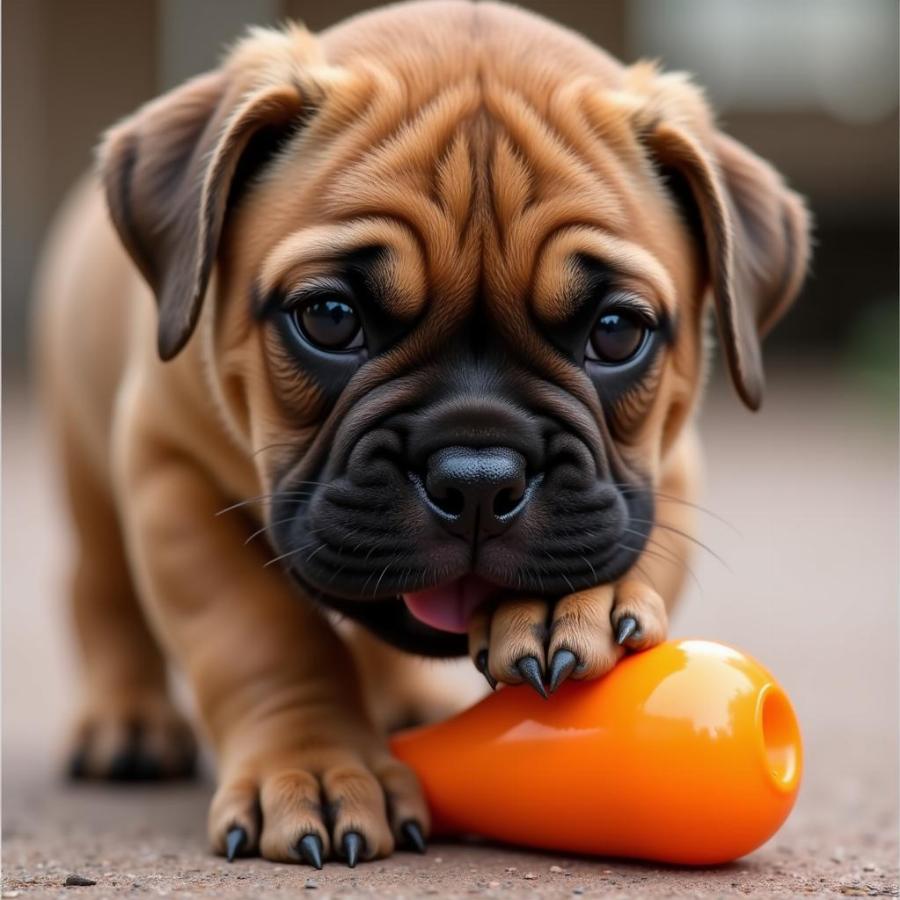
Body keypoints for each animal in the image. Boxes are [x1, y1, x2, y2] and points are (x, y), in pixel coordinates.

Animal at [35, 1, 812, 872]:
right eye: (329, 318)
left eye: (616, 333)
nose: (477, 479)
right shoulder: (170, 470)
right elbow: (261, 635)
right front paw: (317, 764)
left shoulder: (667, 462)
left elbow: (634, 541)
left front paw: (573, 598)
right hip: (89, 469)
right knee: (99, 592)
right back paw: (128, 721)